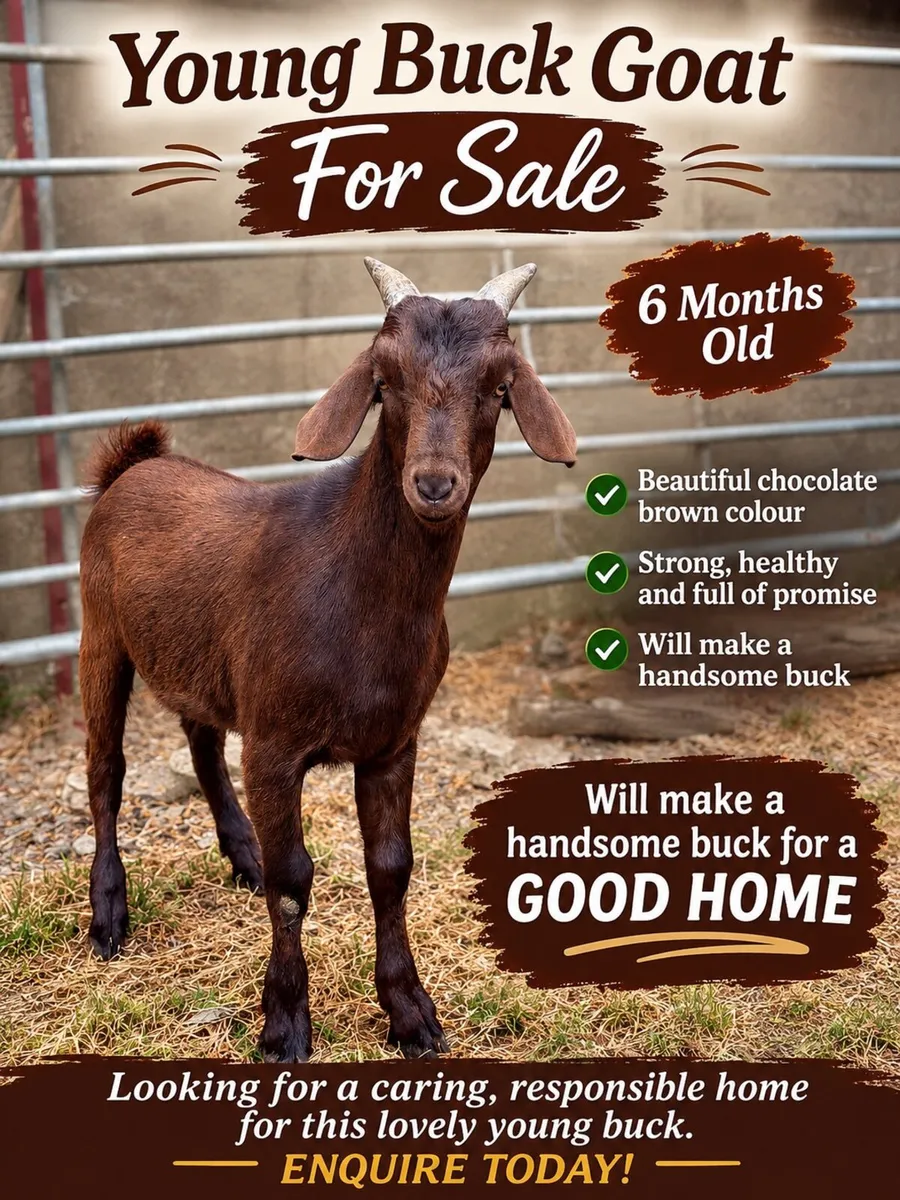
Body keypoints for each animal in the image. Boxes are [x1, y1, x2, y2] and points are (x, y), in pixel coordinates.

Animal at [79, 258, 577, 1062]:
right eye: (385, 378)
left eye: (500, 386)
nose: (433, 483)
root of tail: (135, 463)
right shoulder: (275, 743)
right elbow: (293, 880)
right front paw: (284, 1024)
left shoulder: (394, 742)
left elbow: (391, 869)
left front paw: (411, 1014)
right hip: (101, 634)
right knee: (106, 769)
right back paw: (109, 915)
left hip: (200, 661)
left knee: (201, 739)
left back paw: (240, 853)